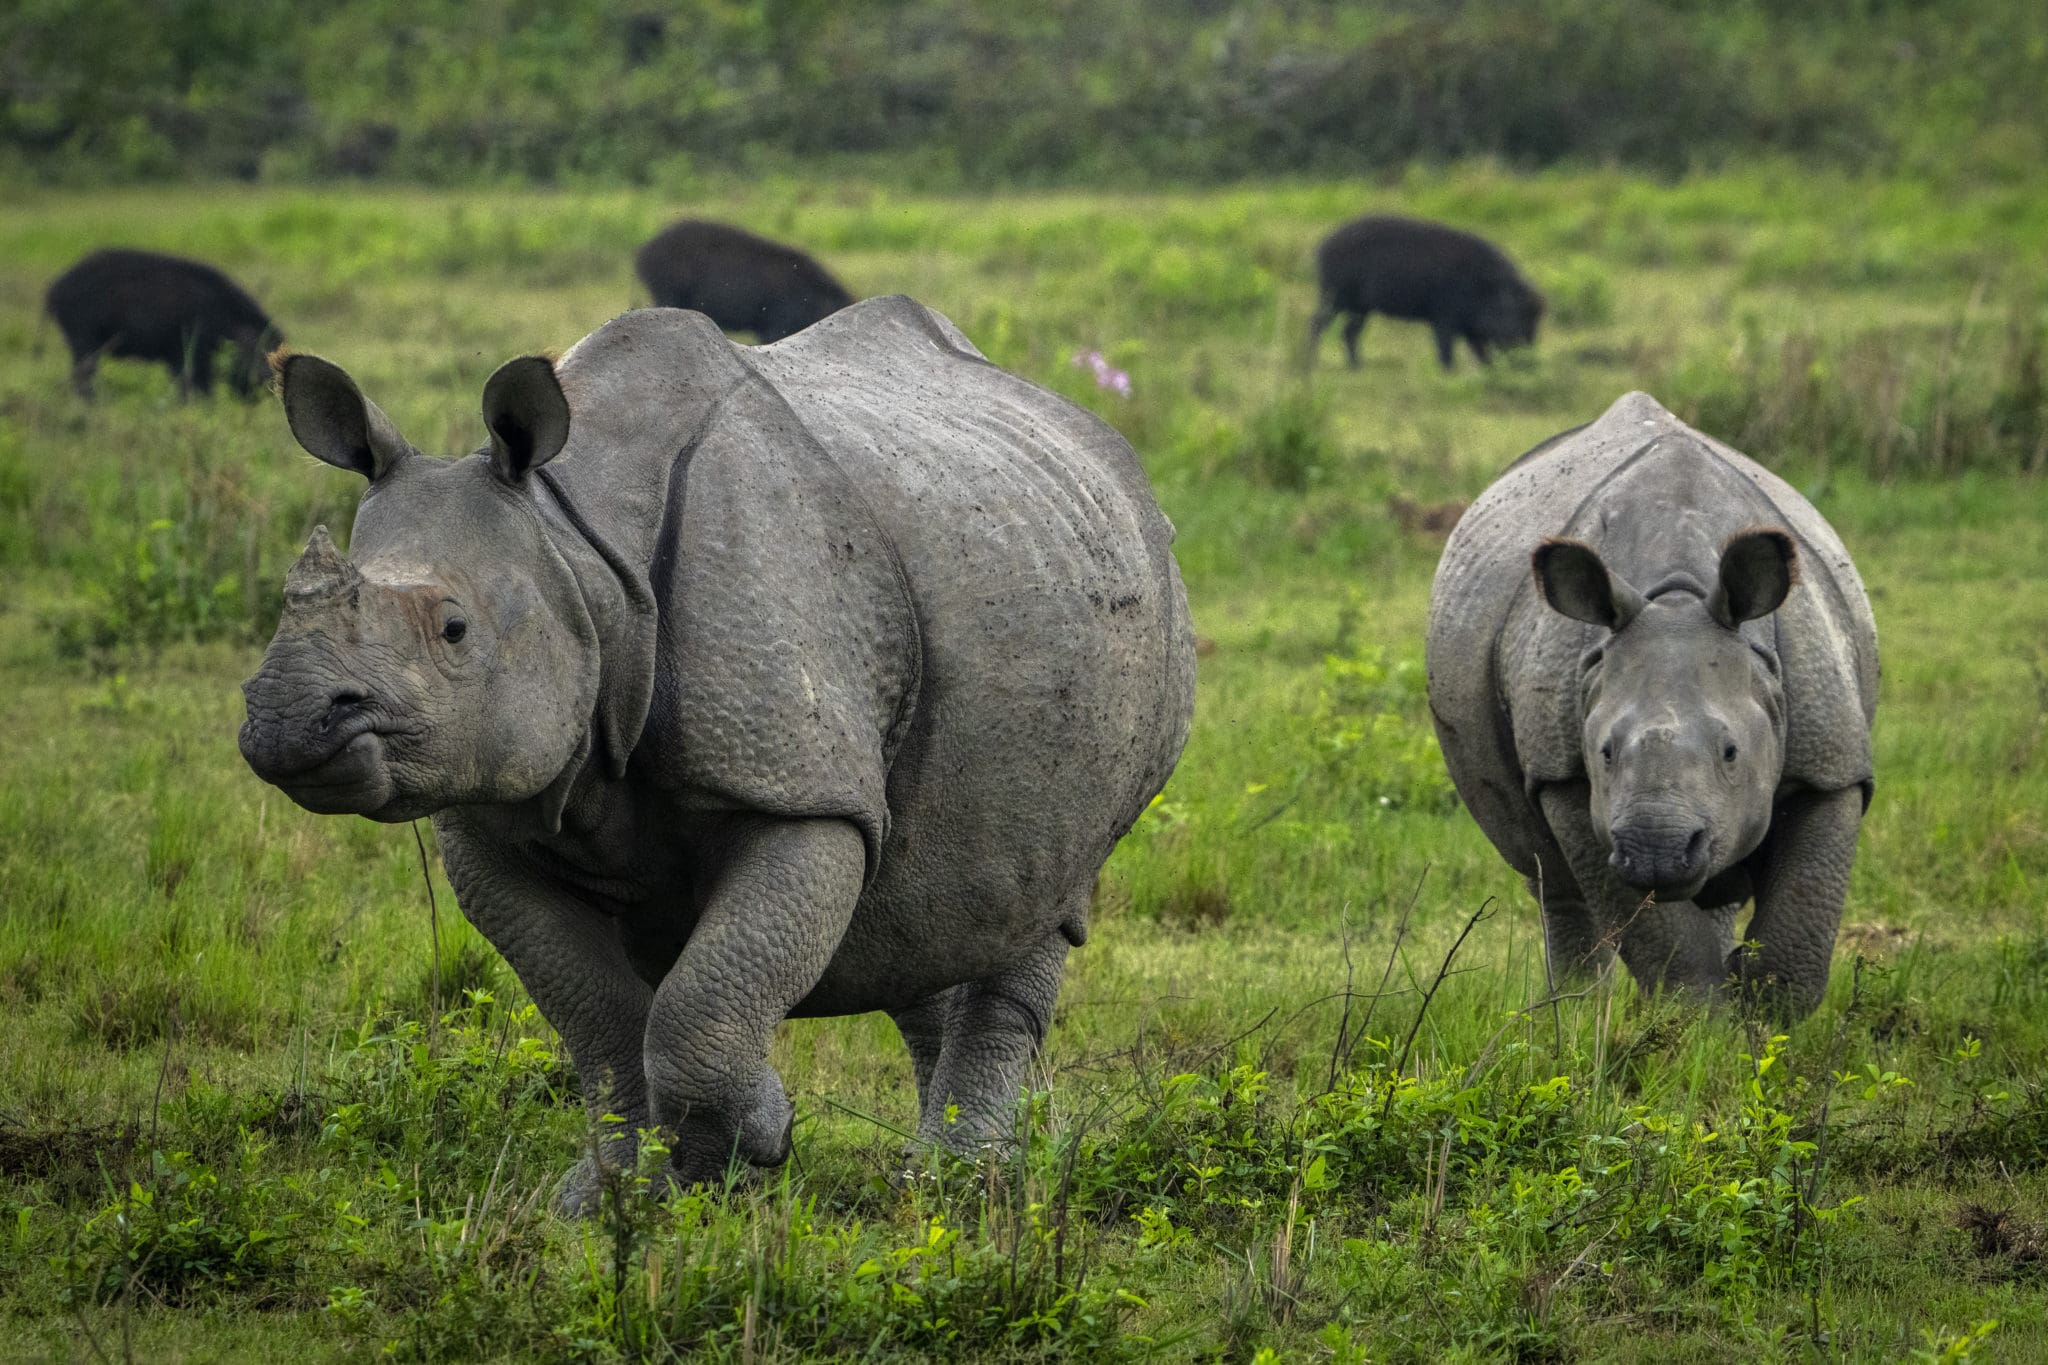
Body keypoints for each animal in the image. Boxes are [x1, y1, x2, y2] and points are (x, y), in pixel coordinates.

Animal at [239, 296, 1196, 1203]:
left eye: (453, 629)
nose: (289, 717)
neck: (577, 551)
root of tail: (1106, 448)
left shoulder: (799, 788)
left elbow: (696, 1007)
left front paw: (747, 1142)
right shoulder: (495, 813)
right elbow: (600, 1021)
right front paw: (613, 1196)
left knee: (1040, 891)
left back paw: (955, 1185)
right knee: (925, 911)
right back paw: (936, 1174)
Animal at [1433, 392, 1875, 1015]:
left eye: (1732, 753)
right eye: (1605, 753)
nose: (1654, 851)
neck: (1679, 597)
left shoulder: (1831, 762)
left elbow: (1796, 943)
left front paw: (1763, 1023)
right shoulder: (1565, 771)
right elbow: (1665, 949)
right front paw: (1702, 1028)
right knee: (1554, 882)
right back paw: (1573, 1016)